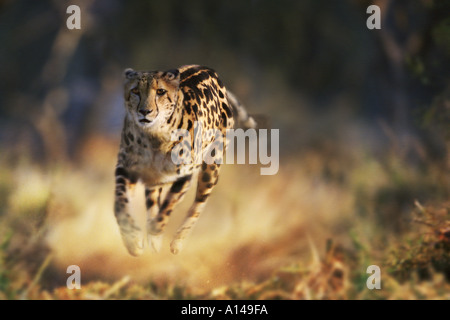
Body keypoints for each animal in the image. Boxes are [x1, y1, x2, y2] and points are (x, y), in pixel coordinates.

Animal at [114, 64, 255, 255]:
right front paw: (132, 239)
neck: (154, 137)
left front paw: (155, 232)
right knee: (152, 199)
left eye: (160, 91)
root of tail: (208, 69)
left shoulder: (185, 174)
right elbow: (120, 204)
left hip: (211, 169)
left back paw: (177, 241)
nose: (144, 111)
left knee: (199, 204)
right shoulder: (126, 167)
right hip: (154, 177)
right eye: (135, 90)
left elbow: (168, 206)